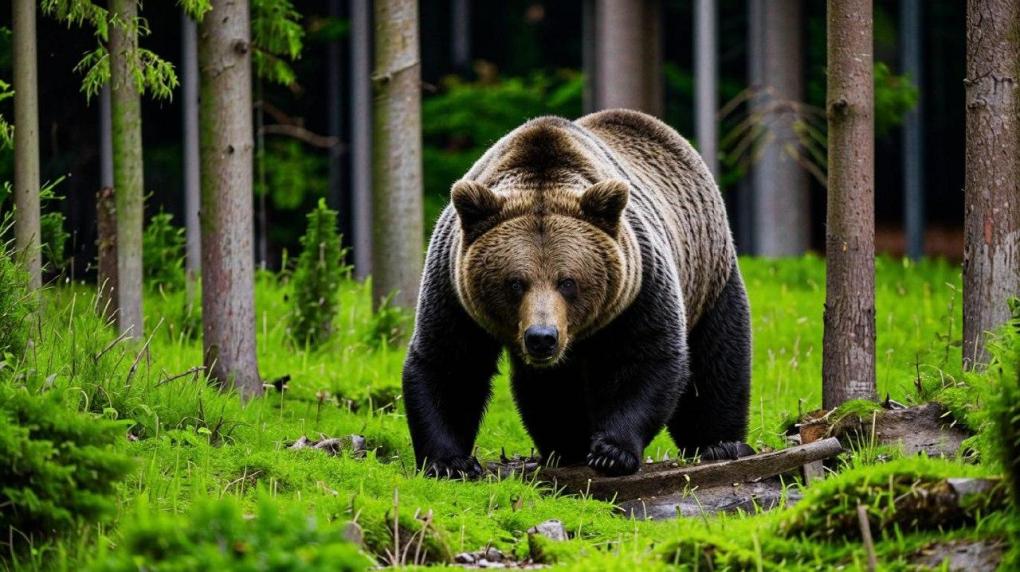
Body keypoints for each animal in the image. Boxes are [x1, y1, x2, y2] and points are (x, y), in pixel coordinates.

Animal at [403, 109, 750, 475]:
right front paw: (450, 462)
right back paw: (564, 446)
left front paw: (612, 452)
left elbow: (646, 357)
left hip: (709, 271)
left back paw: (719, 444)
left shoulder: (639, 286)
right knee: (550, 391)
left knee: (716, 360)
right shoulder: (453, 289)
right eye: (515, 283)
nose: (542, 337)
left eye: (567, 281)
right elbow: (449, 362)